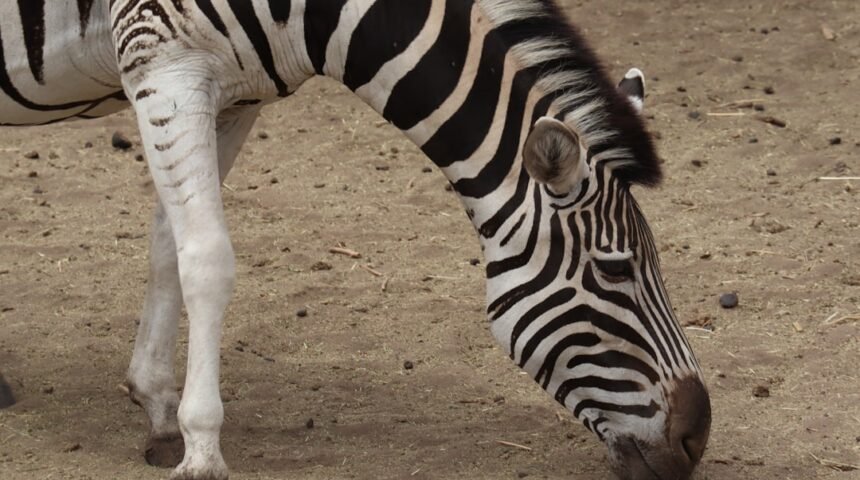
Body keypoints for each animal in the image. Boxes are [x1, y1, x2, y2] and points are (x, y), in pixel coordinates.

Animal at [0, 1, 712, 479]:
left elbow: (168, 248)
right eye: (615, 270)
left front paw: (155, 404)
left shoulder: (230, 95)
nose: (697, 440)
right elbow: (207, 260)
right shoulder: (164, 64)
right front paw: (202, 445)